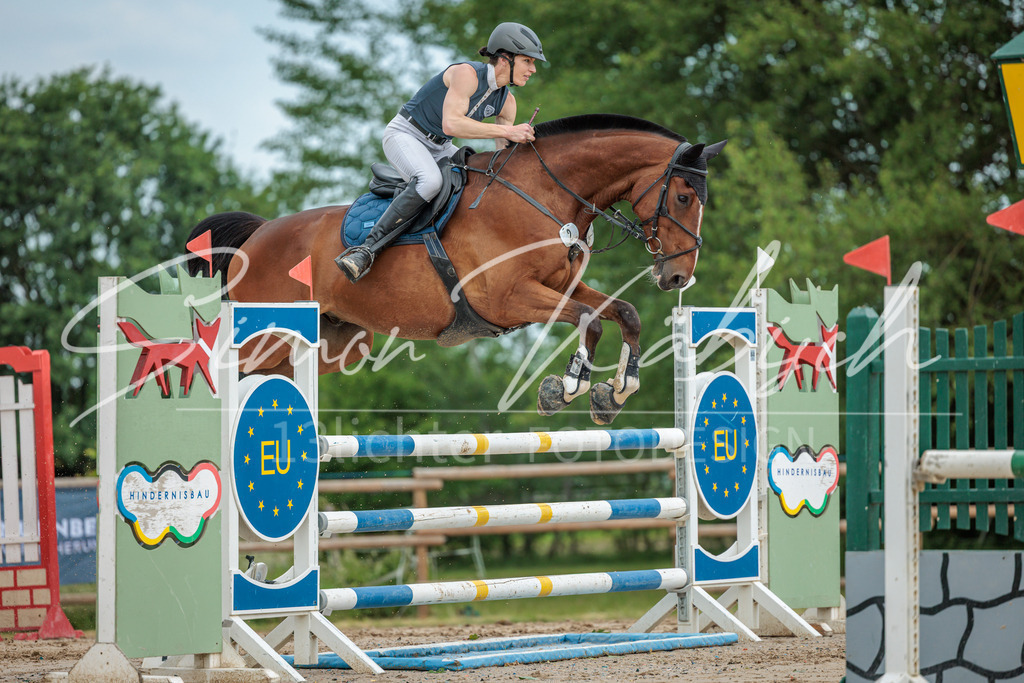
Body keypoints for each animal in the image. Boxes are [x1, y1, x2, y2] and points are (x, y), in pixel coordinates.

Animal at [185, 114, 726, 424]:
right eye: (683, 197)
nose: (679, 278)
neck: (546, 194)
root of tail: (257, 235)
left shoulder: (559, 286)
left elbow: (623, 312)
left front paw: (614, 392)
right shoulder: (509, 298)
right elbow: (591, 320)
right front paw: (567, 389)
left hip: (332, 346)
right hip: (265, 336)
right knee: (227, 371)